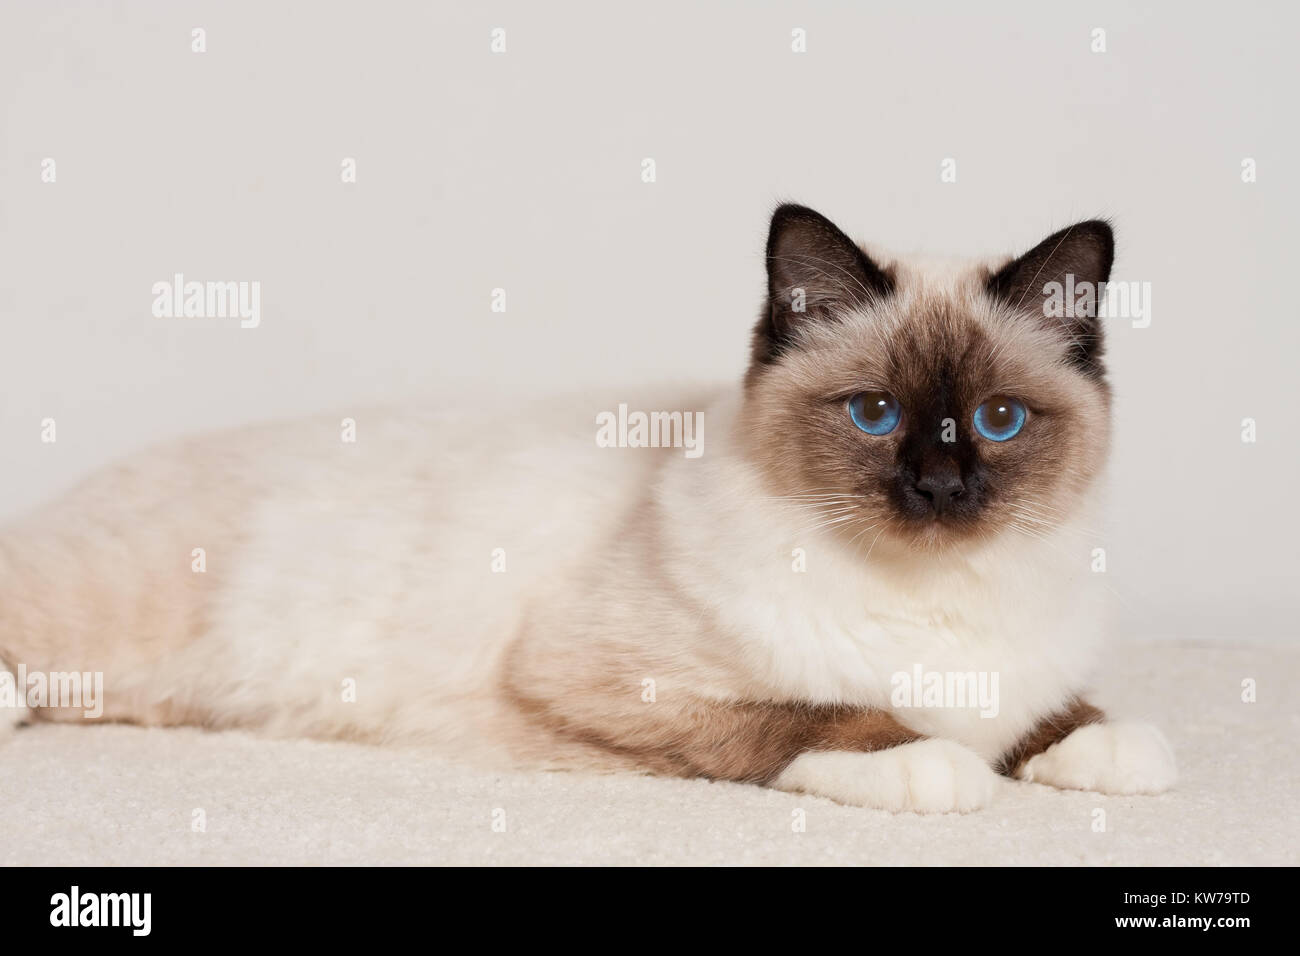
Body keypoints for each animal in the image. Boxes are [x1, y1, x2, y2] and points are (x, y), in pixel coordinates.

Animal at [0, 205, 1180, 811]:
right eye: (875, 412)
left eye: (997, 421)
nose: (938, 489)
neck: (936, 593)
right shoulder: (606, 681)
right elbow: (821, 711)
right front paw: (933, 763)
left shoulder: (1026, 671)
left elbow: (1057, 714)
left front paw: (1105, 752)